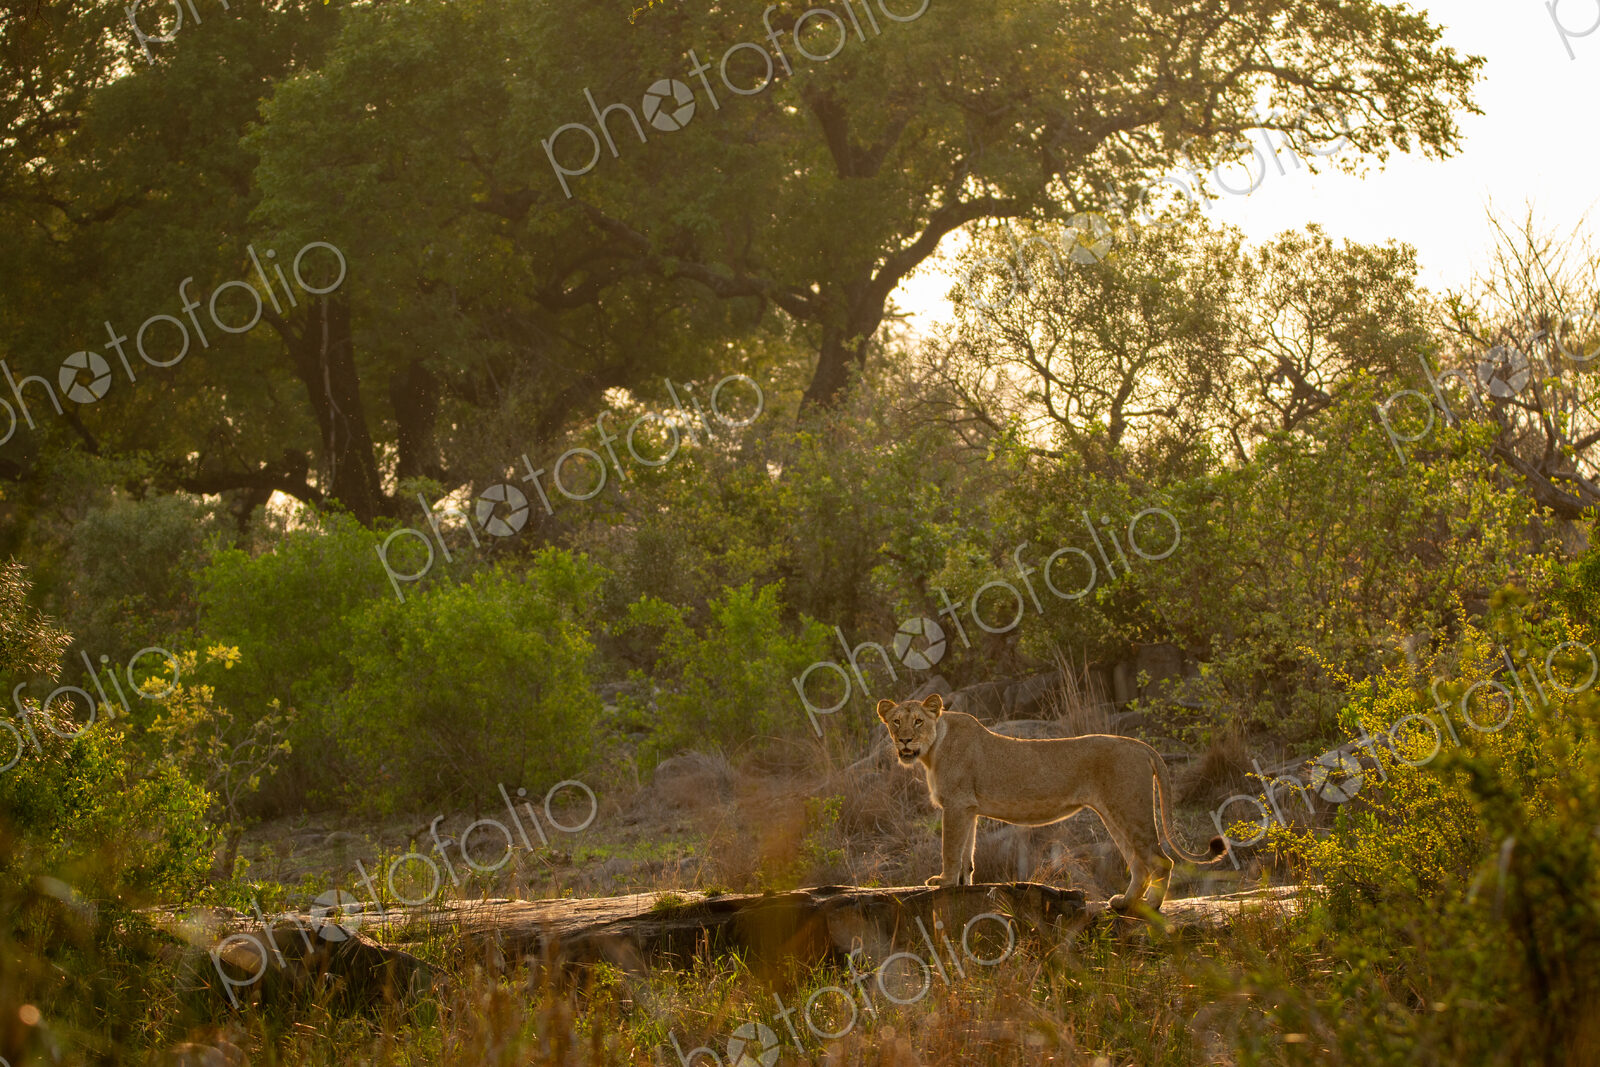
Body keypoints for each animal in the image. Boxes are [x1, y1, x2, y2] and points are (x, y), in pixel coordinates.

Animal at [876, 692, 1226, 911]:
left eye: (918, 721)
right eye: (895, 721)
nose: (905, 740)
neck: (932, 751)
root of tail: (1140, 745)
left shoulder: (956, 804)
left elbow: (950, 849)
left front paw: (944, 882)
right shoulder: (968, 808)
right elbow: (967, 853)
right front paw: (963, 883)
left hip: (1130, 807)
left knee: (1160, 860)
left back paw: (1150, 907)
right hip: (1114, 812)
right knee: (1139, 863)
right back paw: (1125, 904)